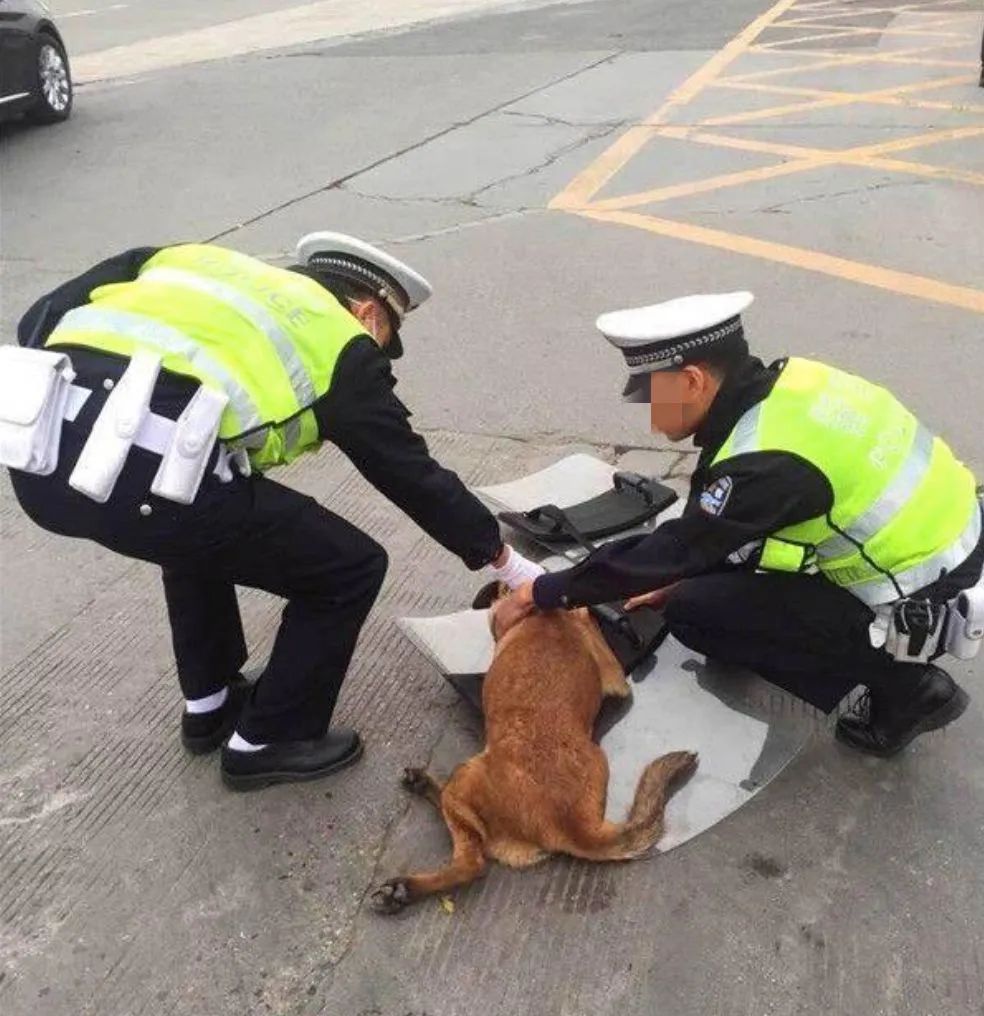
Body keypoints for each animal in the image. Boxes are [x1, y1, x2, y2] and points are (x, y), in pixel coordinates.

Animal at [369, 581, 698, 914]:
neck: (548, 614)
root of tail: (578, 824)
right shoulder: (614, 678)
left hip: (464, 778)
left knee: (471, 863)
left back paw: (406, 883)